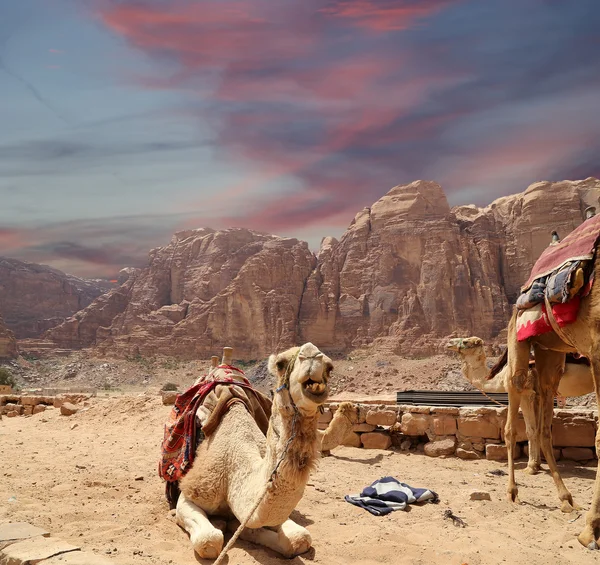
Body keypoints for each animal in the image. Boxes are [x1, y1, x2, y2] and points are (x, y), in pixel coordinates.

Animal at [448, 338, 592, 474]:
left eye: (466, 341)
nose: (449, 343)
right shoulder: (538, 395)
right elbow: (538, 429)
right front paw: (538, 464)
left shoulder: (525, 392)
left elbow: (531, 430)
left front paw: (531, 467)